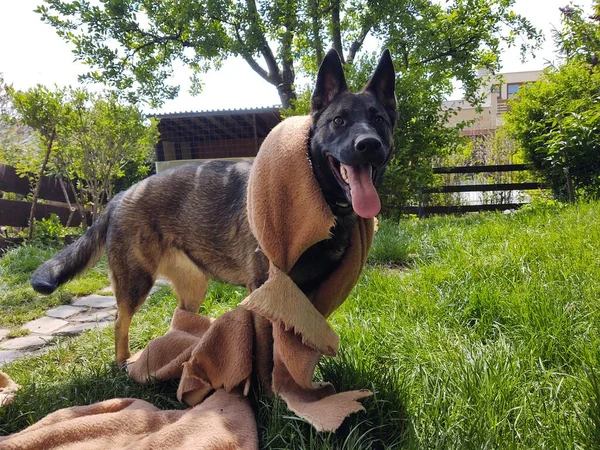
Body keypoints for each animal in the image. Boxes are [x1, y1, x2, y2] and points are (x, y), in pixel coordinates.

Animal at [32, 48, 398, 366]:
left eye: (379, 119)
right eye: (339, 121)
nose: (368, 145)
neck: (321, 196)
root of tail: (120, 195)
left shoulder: (309, 295)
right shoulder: (266, 291)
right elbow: (266, 353)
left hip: (193, 287)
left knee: (180, 319)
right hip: (136, 282)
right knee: (120, 321)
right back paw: (125, 362)